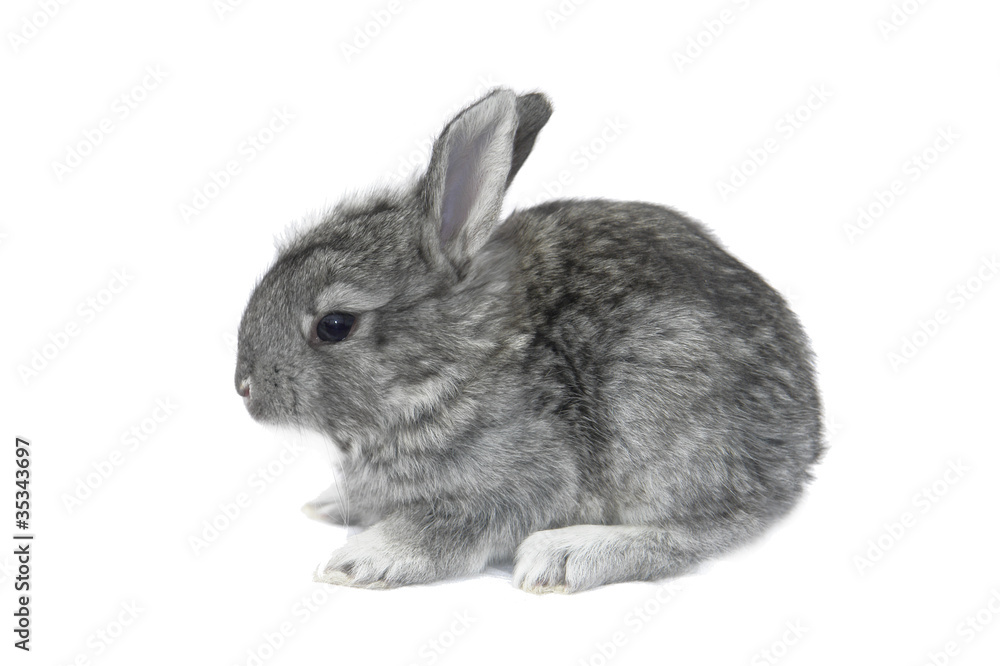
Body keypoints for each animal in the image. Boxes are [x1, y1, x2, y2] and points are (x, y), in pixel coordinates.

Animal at [235, 88, 824, 593]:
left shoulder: (524, 482)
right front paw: (331, 506)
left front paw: (361, 559)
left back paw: (566, 555)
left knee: (702, 529)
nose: (243, 387)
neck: (457, 365)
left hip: (662, 427)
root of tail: (803, 441)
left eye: (335, 325)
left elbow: (450, 524)